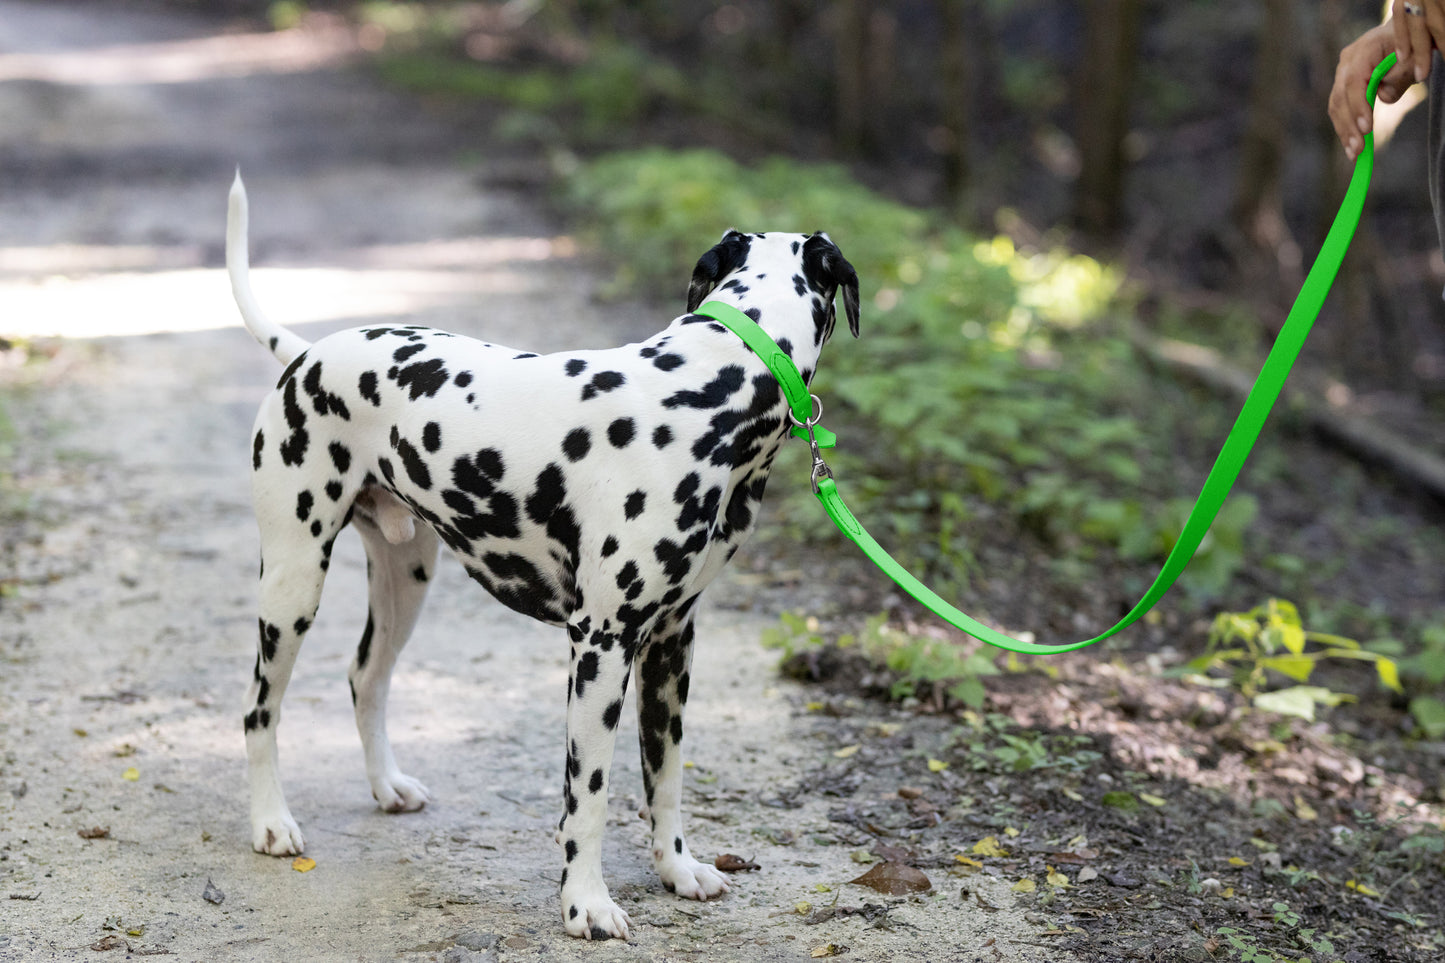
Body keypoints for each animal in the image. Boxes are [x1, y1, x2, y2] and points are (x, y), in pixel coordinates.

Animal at [225, 174, 855, 936]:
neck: (711, 383)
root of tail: (309, 352)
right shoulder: (602, 644)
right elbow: (589, 794)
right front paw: (586, 903)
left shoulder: (671, 642)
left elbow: (665, 778)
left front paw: (677, 869)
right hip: (292, 585)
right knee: (259, 708)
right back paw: (271, 821)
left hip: (406, 581)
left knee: (364, 678)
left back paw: (386, 785)